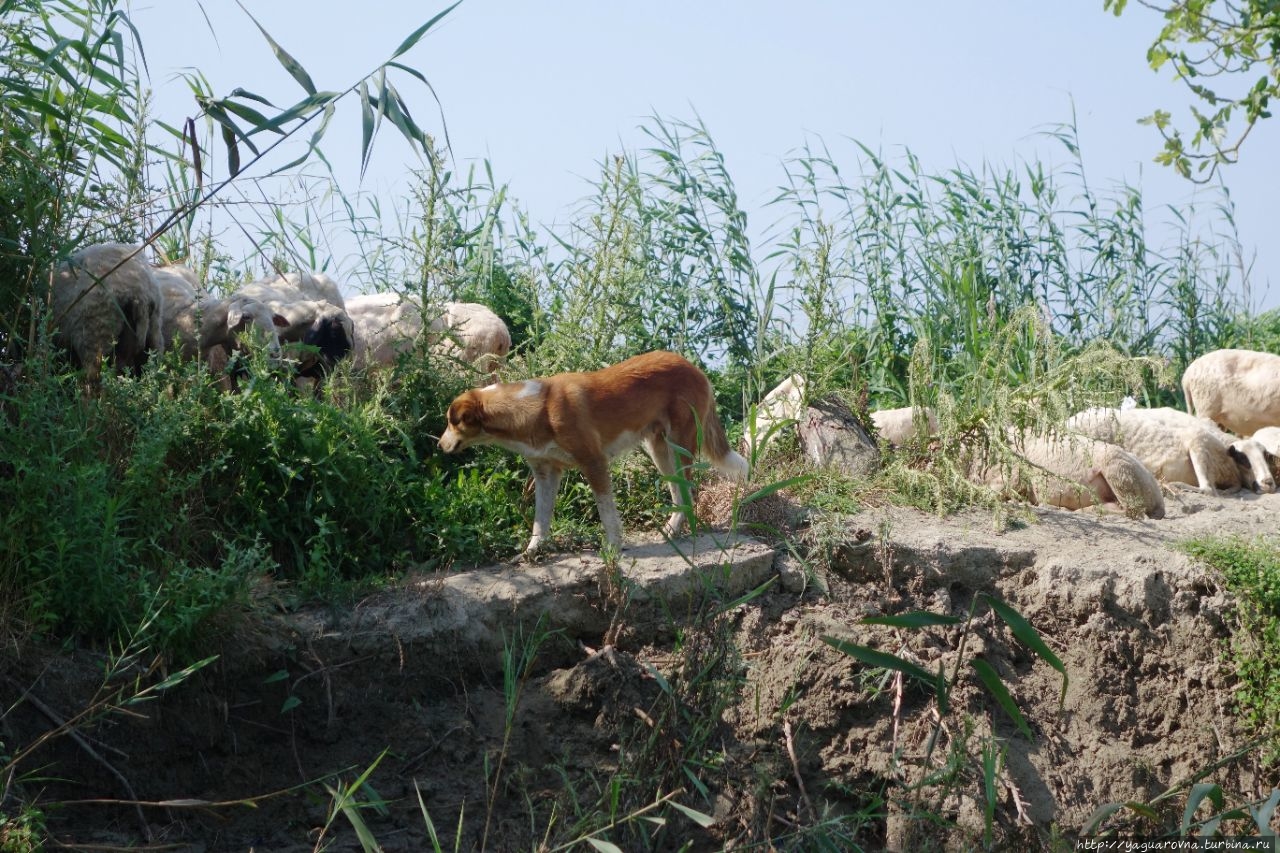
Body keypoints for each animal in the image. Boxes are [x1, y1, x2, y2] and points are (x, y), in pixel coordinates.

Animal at [440, 348, 747, 555]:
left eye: (452, 422)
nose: (439, 445)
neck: (535, 408)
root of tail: (695, 368)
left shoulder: (594, 462)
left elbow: (606, 512)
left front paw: (613, 546)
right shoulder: (546, 474)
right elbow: (541, 519)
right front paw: (533, 550)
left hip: (679, 446)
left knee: (689, 491)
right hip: (659, 450)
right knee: (678, 492)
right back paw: (672, 530)